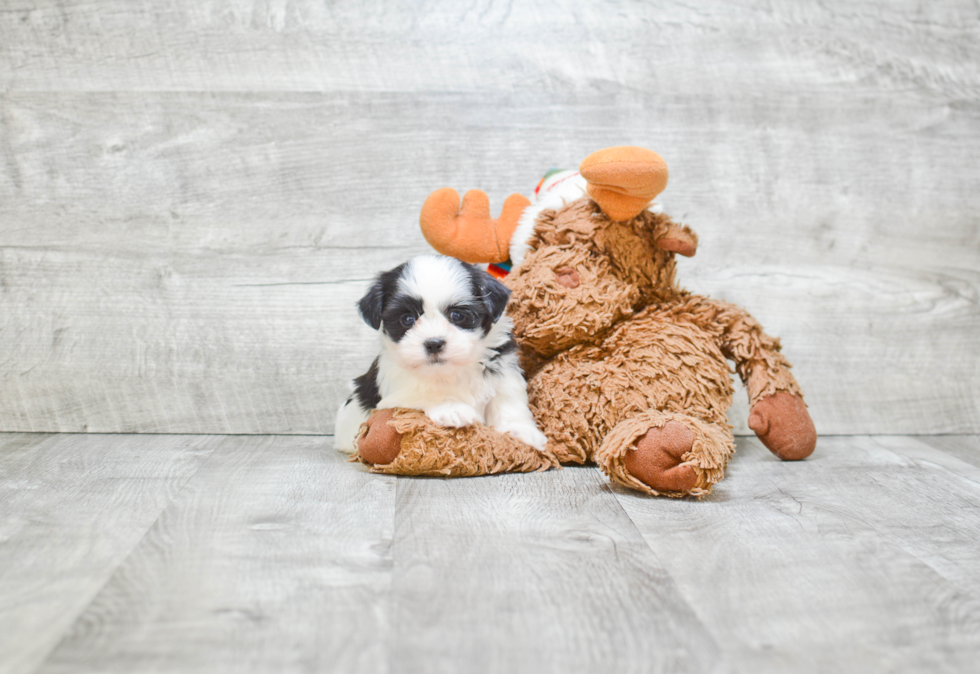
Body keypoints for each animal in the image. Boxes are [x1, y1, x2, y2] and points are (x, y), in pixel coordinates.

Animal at [334, 255, 552, 454]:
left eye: (457, 315)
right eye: (407, 319)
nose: (434, 343)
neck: (451, 371)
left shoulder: (504, 370)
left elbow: (508, 399)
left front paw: (521, 431)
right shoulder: (392, 392)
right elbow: (422, 391)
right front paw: (451, 408)